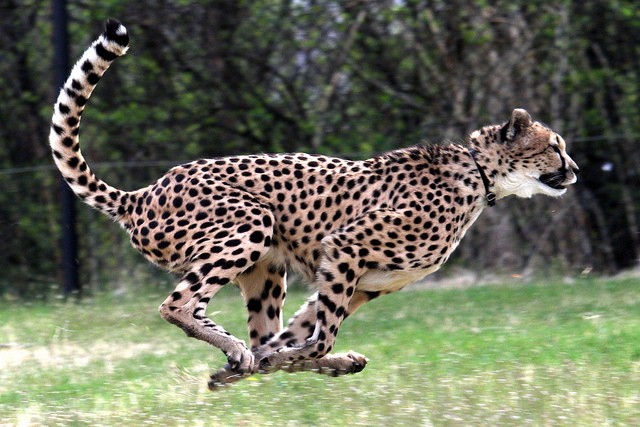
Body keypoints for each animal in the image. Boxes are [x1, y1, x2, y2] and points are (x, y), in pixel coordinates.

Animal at [50, 19, 580, 388]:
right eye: (555, 146)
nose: (575, 170)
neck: (478, 174)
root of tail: (145, 191)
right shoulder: (345, 248)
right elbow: (318, 335)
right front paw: (271, 362)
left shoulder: (361, 284)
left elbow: (296, 335)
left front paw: (261, 366)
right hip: (252, 223)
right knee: (176, 305)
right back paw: (239, 351)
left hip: (266, 271)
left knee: (247, 328)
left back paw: (255, 359)